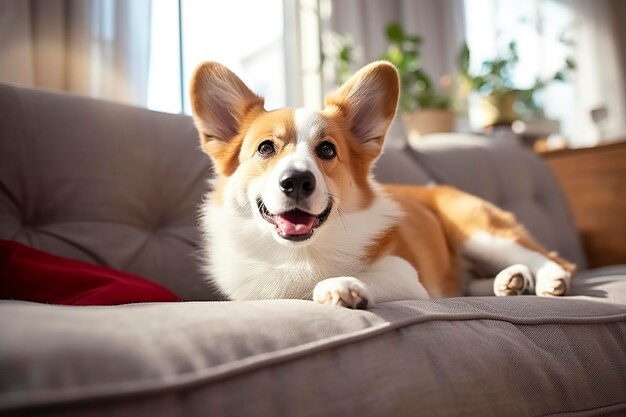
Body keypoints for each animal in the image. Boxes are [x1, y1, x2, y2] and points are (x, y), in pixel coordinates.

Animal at [188, 60, 572, 308]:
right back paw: (512, 281)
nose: (296, 181)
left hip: (477, 232)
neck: (300, 254)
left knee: (550, 256)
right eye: (266, 148)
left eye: (327, 150)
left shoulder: (404, 273)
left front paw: (340, 285)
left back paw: (549, 279)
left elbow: (357, 277)